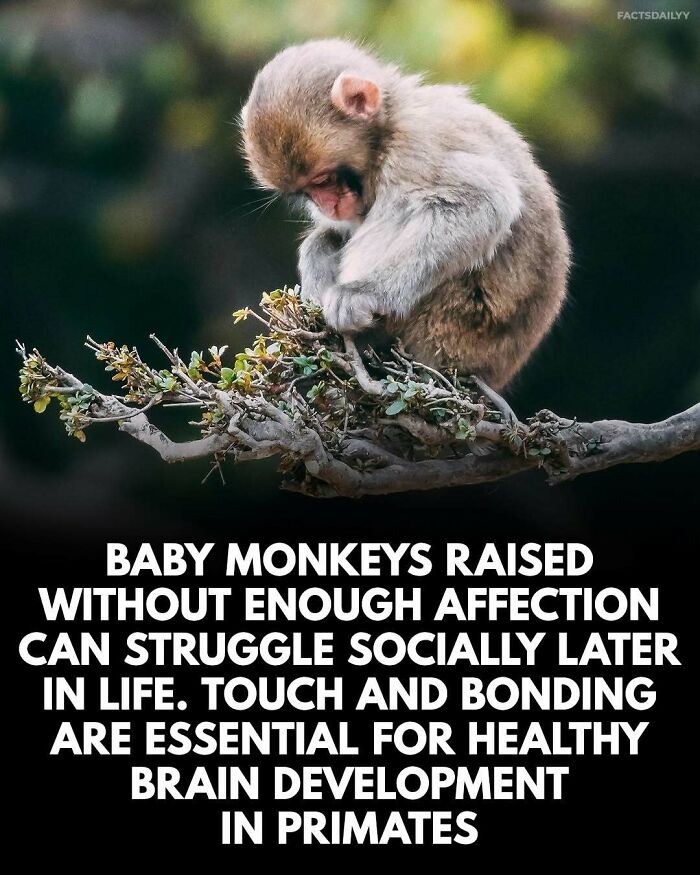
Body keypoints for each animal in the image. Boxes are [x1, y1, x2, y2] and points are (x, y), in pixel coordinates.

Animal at [241, 39, 570, 390]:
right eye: (306, 192)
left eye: (322, 180)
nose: (326, 206)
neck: (389, 125)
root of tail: (490, 373)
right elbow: (336, 231)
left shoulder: (416, 148)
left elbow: (483, 203)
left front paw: (365, 294)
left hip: (450, 329)